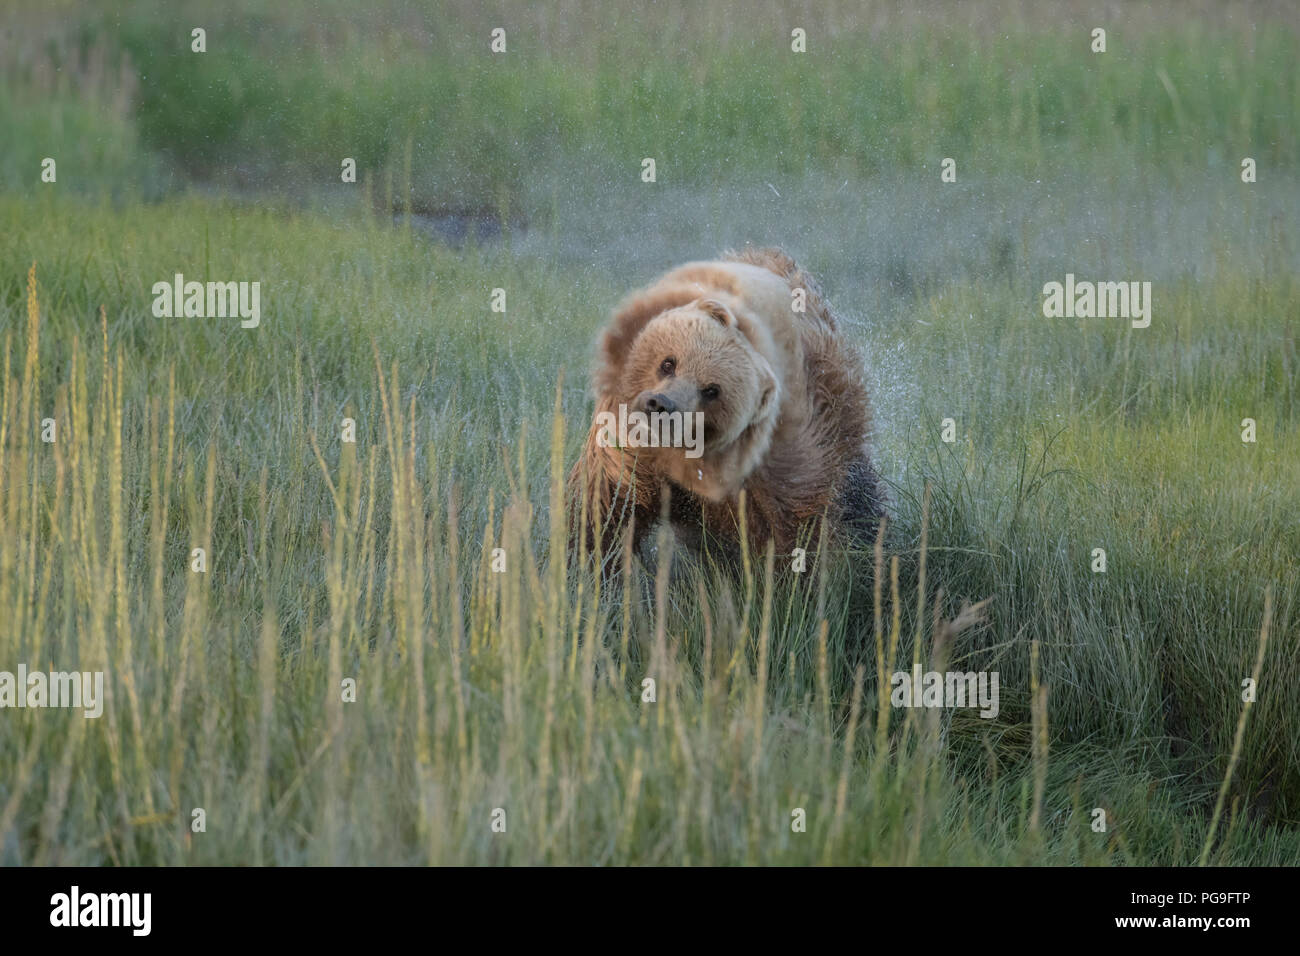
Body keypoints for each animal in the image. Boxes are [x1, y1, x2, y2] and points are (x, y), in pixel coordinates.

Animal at [569, 247, 883, 572]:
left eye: (712, 390)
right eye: (668, 363)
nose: (660, 406)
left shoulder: (787, 457)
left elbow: (794, 526)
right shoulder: (631, 446)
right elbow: (608, 501)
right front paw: (589, 562)